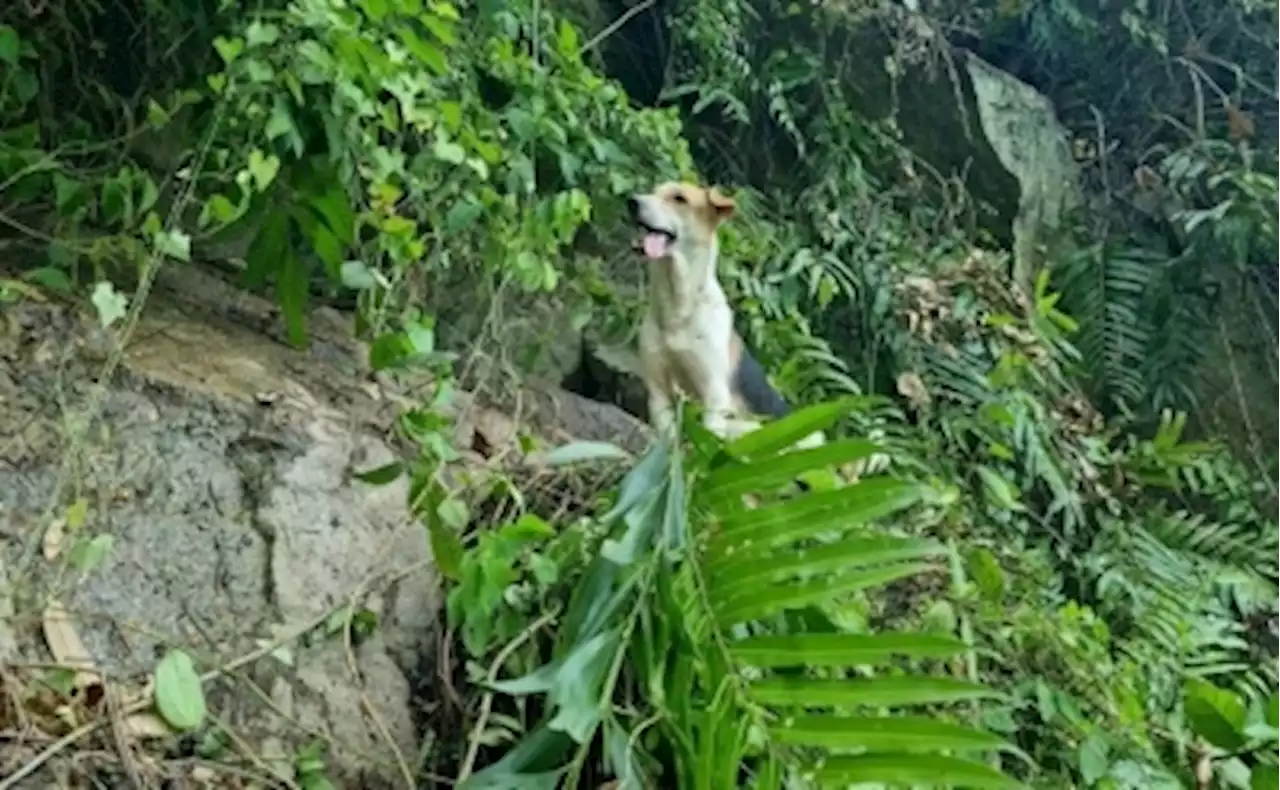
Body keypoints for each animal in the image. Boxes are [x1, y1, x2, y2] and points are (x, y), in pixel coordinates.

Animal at [627, 180, 819, 445]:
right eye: (654, 191)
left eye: (679, 199)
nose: (632, 202)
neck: (678, 308)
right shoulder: (658, 391)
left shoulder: (714, 395)